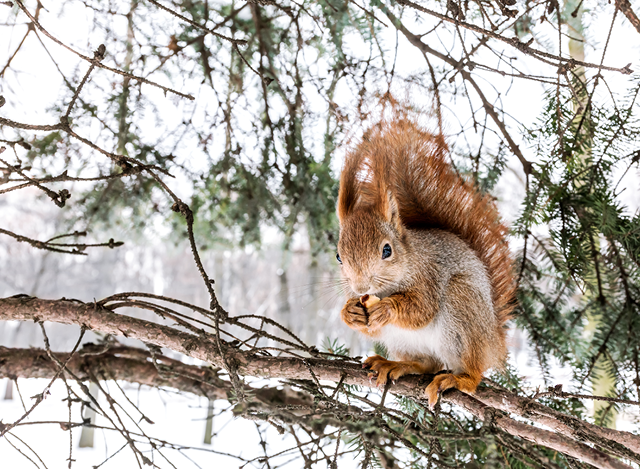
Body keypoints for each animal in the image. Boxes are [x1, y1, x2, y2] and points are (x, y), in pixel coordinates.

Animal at [338, 116, 516, 406]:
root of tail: (494, 341)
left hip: (462, 308)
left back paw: (459, 379)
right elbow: (368, 328)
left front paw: (387, 308)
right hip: (402, 342)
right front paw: (349, 312)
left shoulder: (429, 275)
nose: (361, 287)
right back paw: (394, 364)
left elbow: (422, 309)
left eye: (387, 250)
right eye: (338, 256)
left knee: (471, 373)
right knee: (427, 364)